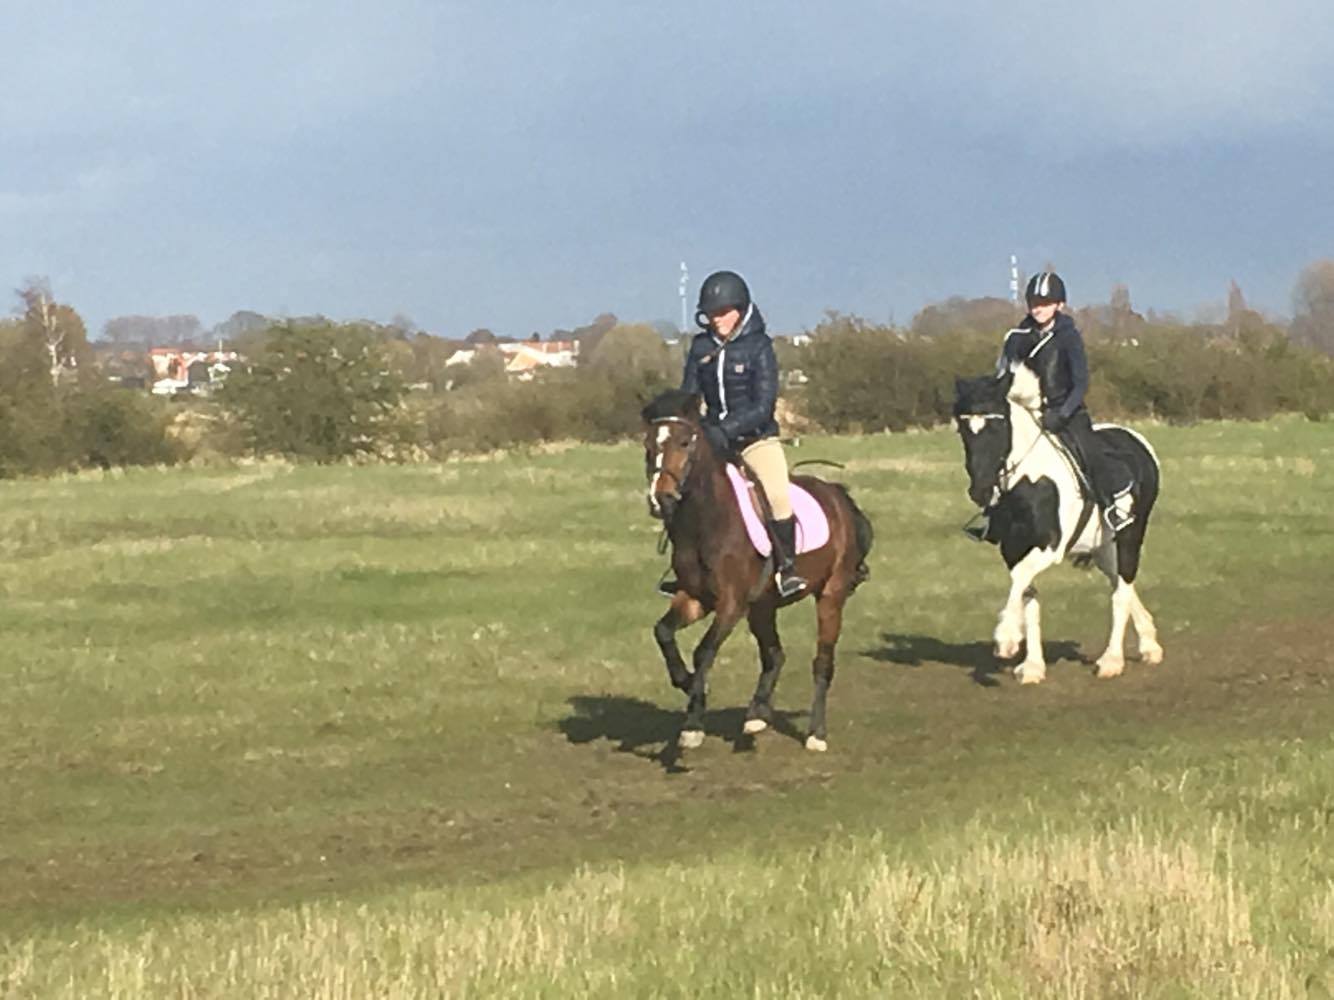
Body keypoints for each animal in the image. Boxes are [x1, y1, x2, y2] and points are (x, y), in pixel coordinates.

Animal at [955, 368, 1163, 688]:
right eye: (963, 430)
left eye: (997, 427)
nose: (979, 490)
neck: (1028, 481)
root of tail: (1138, 442)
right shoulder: (1013, 549)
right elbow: (1027, 594)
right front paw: (1032, 667)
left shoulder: (1049, 547)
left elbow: (1021, 580)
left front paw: (1007, 638)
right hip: (1104, 548)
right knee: (1120, 582)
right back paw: (1149, 644)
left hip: (1130, 535)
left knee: (1121, 591)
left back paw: (1112, 660)